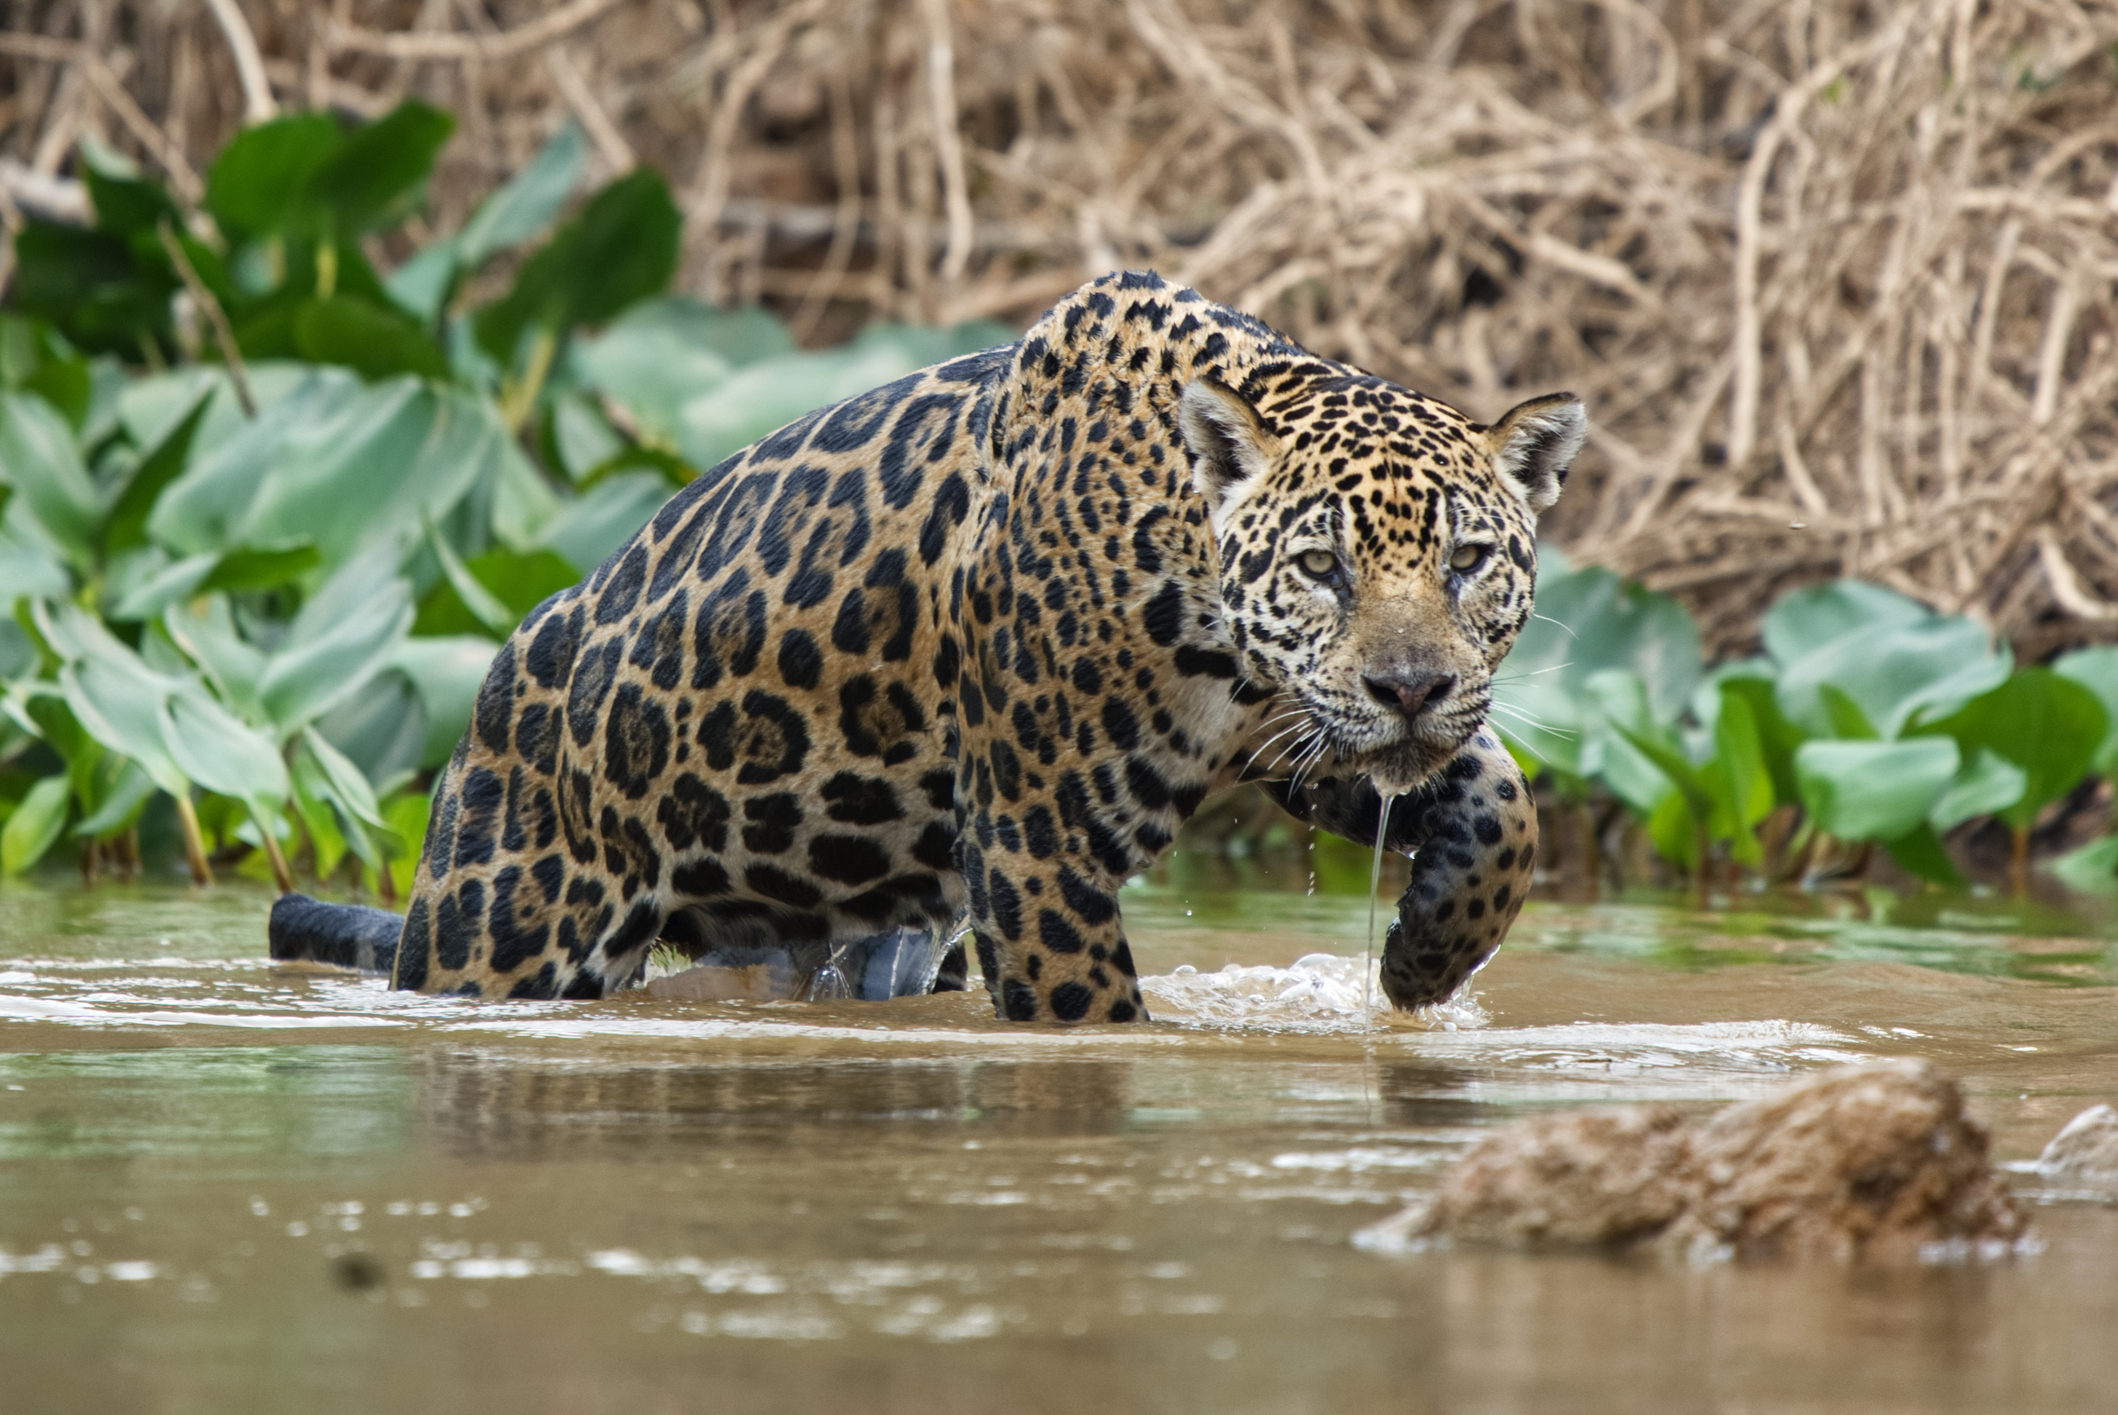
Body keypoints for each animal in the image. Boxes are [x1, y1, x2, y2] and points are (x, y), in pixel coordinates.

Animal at [269, 270, 1584, 1023]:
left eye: (1469, 560)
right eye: (1322, 567)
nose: (1411, 684)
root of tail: (491, 687)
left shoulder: (1293, 733)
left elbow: (1503, 800)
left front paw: (1423, 960)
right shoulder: (1036, 840)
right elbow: (1088, 1014)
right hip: (506, 930)